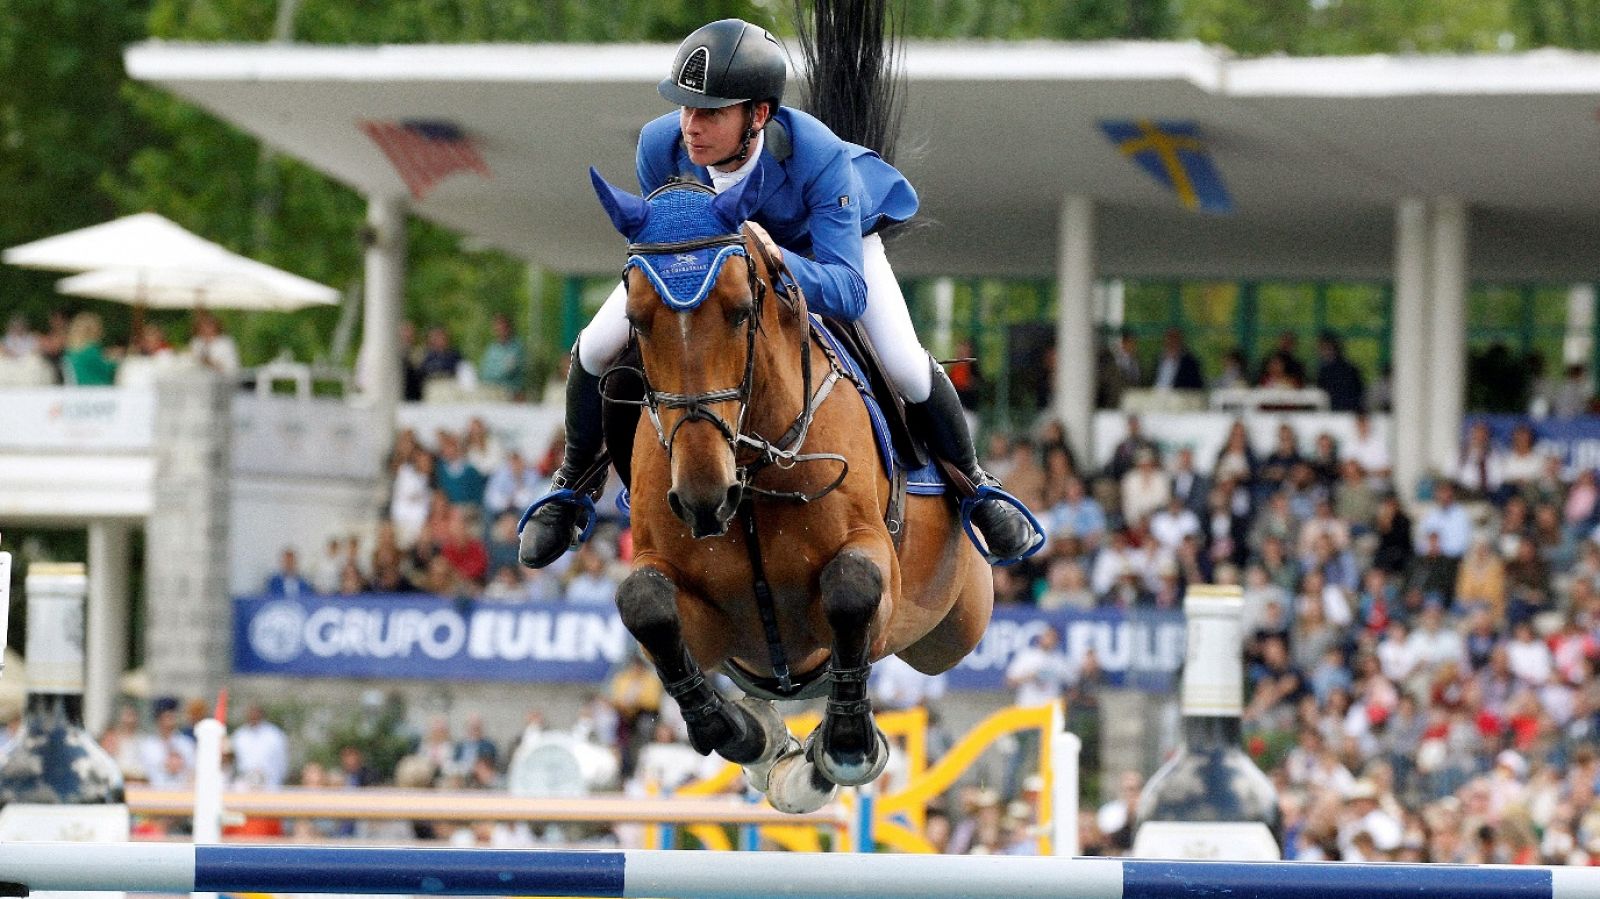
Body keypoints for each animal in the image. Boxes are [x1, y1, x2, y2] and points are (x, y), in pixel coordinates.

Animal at [585, 162, 985, 812]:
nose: (704, 498)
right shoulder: (704, 618)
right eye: (636, 321)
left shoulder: (874, 562)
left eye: (741, 310)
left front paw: (845, 747)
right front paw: (748, 736)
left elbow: (852, 588)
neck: (750, 472)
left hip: (954, 626)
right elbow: (646, 606)